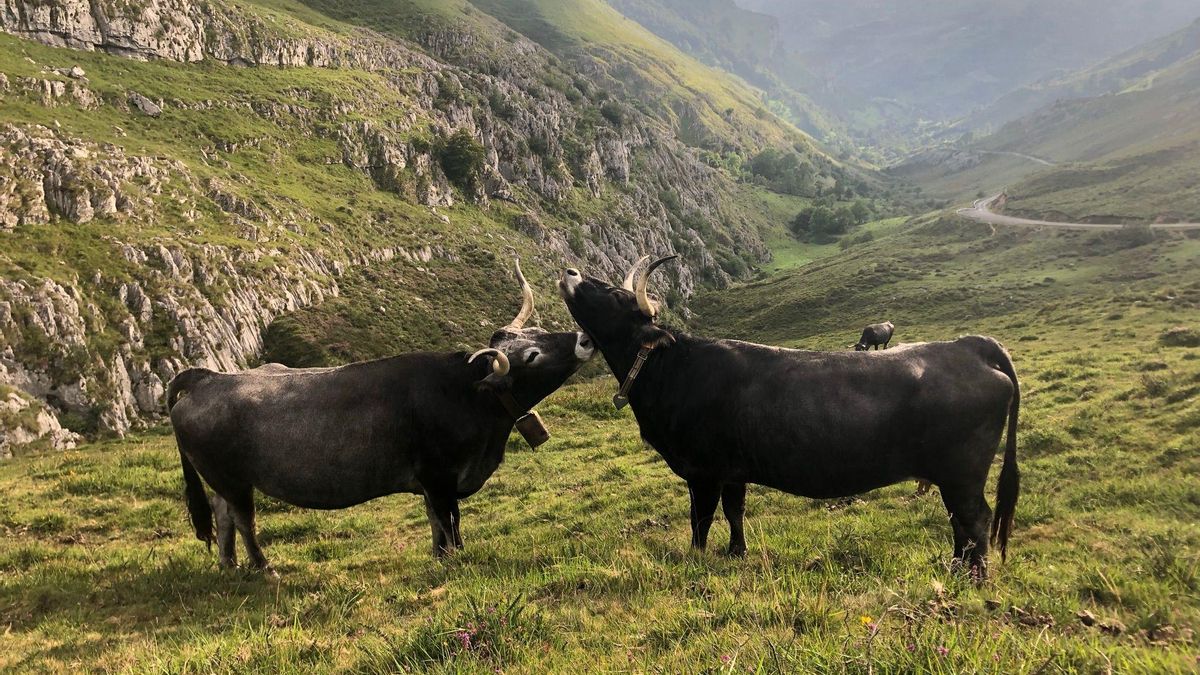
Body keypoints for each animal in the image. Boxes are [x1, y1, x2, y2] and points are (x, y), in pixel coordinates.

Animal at [169, 261, 594, 572]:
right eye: (531, 356)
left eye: (538, 330)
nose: (584, 338)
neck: (467, 394)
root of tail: (208, 378)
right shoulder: (438, 476)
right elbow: (449, 519)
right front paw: (453, 558)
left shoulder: (431, 482)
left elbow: (436, 521)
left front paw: (439, 555)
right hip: (232, 479)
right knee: (243, 519)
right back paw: (263, 567)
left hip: (223, 480)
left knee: (223, 515)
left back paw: (230, 565)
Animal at [558, 256, 1020, 579]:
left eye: (616, 297)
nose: (570, 272)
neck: (673, 369)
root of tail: (968, 345)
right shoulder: (733, 471)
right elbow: (735, 512)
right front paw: (737, 553)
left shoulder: (703, 472)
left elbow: (700, 521)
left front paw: (696, 559)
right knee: (961, 523)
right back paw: (956, 569)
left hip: (962, 474)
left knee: (975, 520)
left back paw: (972, 579)